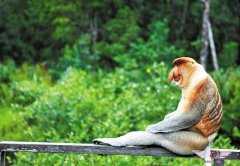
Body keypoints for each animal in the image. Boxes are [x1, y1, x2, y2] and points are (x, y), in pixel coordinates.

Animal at [92, 57, 223, 156]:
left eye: (177, 65)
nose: (172, 72)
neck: (194, 76)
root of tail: (208, 141)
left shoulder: (201, 87)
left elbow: (190, 115)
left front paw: (151, 128)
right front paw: (166, 118)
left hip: (193, 142)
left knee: (158, 137)